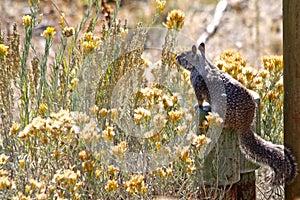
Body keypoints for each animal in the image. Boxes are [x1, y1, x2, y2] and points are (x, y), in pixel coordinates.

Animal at [176, 42, 298, 186]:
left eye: (185, 55)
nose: (176, 57)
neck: (202, 64)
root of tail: (245, 124)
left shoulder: (198, 87)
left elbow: (200, 101)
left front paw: (199, 106)